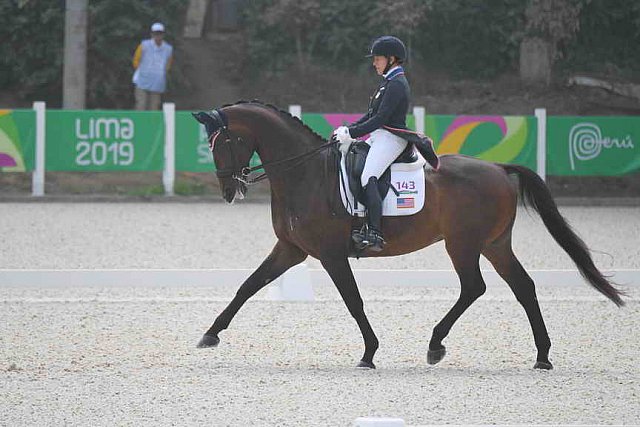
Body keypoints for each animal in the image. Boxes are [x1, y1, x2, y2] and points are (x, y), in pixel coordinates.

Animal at [191, 100, 624, 372]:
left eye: (224, 142)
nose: (229, 190)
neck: (305, 174)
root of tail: (499, 169)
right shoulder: (292, 248)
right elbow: (248, 286)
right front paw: (209, 335)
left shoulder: (330, 254)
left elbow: (353, 301)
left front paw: (369, 353)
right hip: (494, 244)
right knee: (523, 286)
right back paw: (542, 356)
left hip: (463, 244)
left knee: (474, 287)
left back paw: (436, 345)